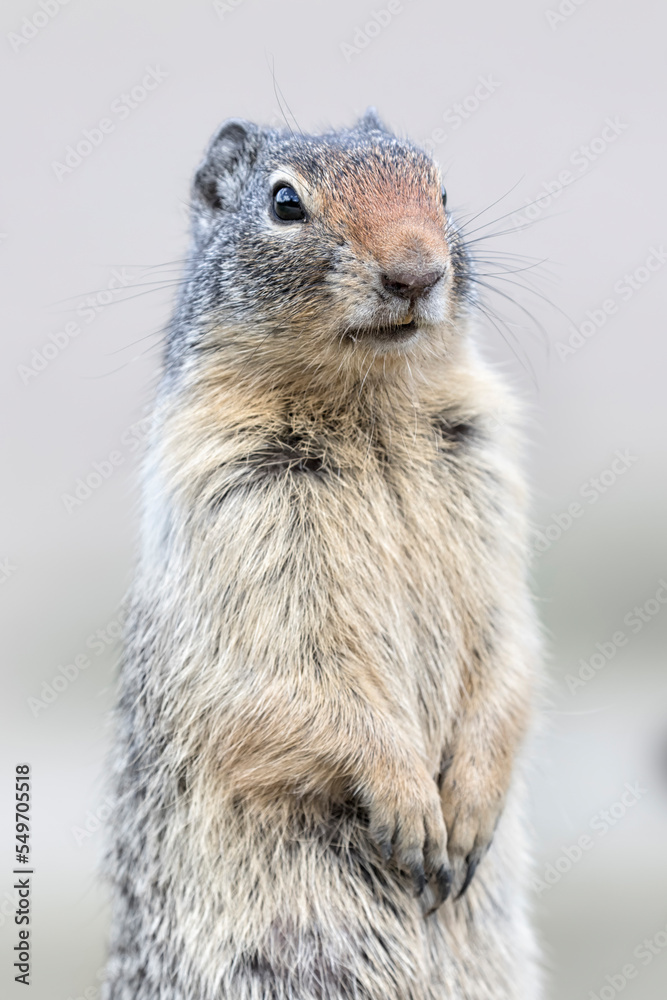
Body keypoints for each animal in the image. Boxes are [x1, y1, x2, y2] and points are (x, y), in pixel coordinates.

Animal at [102, 109, 542, 1000]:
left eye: (441, 189)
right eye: (284, 202)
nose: (417, 271)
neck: (370, 408)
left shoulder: (489, 491)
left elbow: (509, 646)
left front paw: (466, 811)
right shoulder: (238, 511)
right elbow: (299, 675)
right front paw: (411, 810)